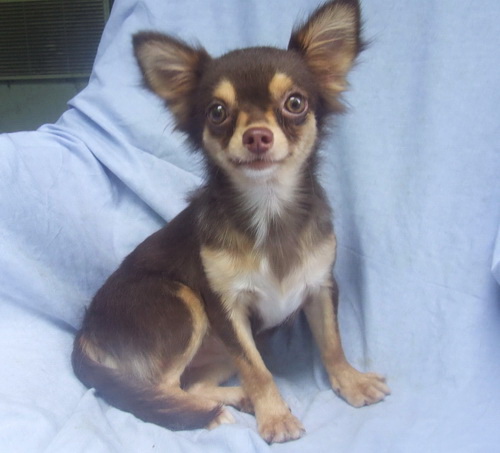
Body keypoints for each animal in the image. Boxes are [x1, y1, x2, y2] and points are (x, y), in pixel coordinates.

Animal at [72, 0, 390, 443]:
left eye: (295, 103)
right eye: (217, 112)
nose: (257, 135)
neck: (268, 209)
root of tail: (84, 331)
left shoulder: (320, 287)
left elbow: (331, 342)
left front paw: (351, 381)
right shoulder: (226, 309)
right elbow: (258, 370)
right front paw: (275, 417)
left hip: (218, 347)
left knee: (192, 383)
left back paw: (236, 398)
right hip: (185, 303)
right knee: (161, 387)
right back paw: (211, 413)